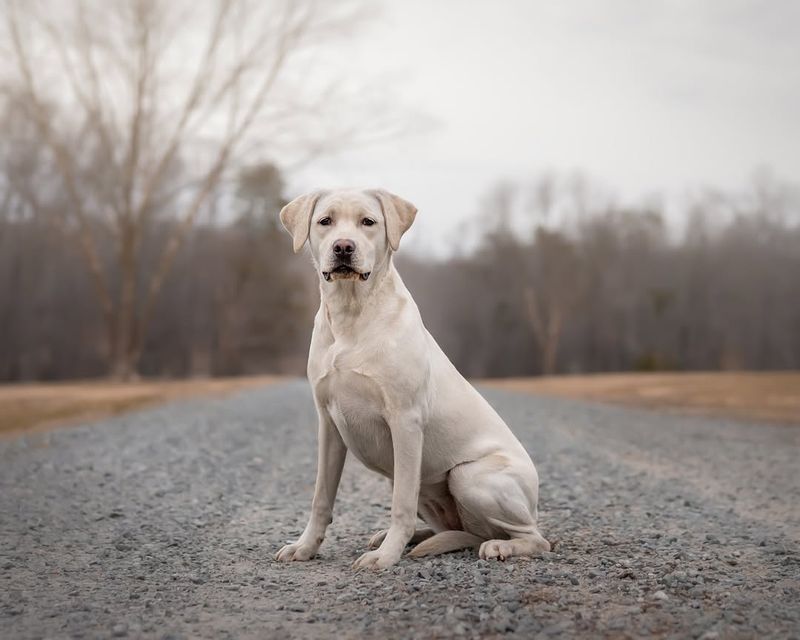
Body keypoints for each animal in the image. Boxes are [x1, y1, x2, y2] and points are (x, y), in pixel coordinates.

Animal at [276, 188, 552, 568]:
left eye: (368, 222)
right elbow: (321, 498)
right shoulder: (328, 425)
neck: (352, 312)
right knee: (459, 529)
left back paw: (500, 546)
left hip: (468, 476)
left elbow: (400, 506)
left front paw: (386, 557)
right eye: (325, 221)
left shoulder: (404, 421)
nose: (344, 247)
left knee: (535, 538)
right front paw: (305, 547)